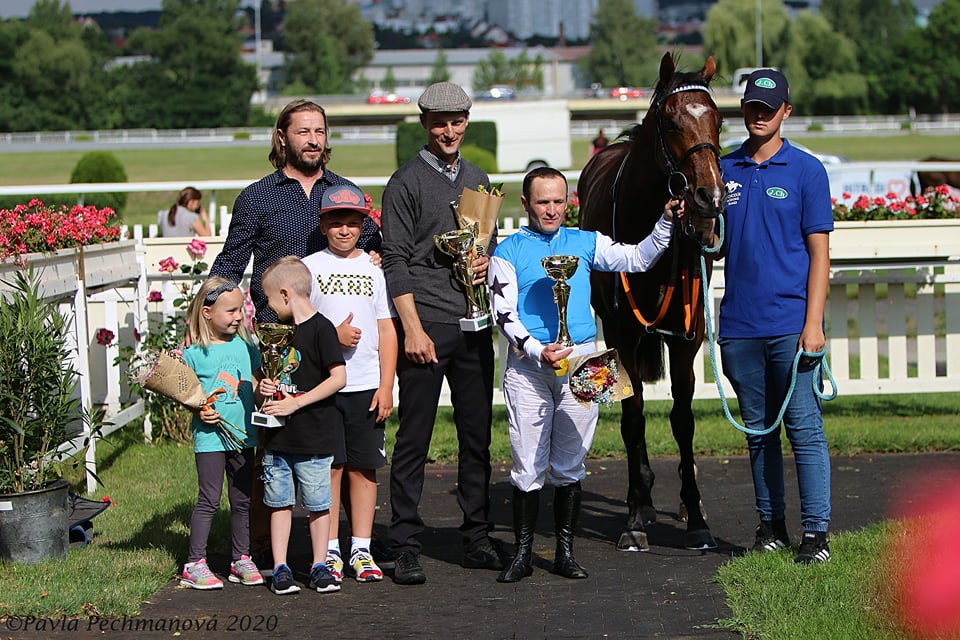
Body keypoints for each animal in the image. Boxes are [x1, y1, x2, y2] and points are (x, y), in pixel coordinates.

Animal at [576, 51, 720, 552]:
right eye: (671, 122)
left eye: (718, 119)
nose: (710, 196)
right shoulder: (623, 333)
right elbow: (633, 416)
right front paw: (636, 514)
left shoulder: (688, 336)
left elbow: (683, 418)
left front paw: (696, 515)